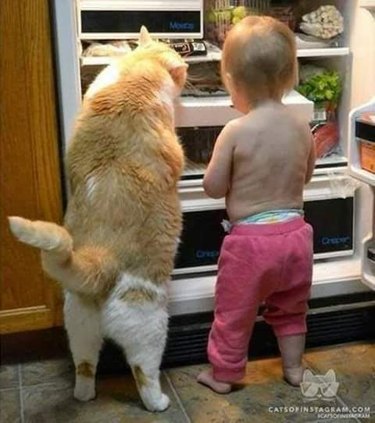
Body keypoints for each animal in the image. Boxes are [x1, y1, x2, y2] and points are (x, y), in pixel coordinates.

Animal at [7, 26, 187, 414]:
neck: (137, 70)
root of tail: (99, 259)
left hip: (78, 324)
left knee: (85, 366)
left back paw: (84, 395)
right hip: (150, 325)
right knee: (144, 372)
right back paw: (158, 402)